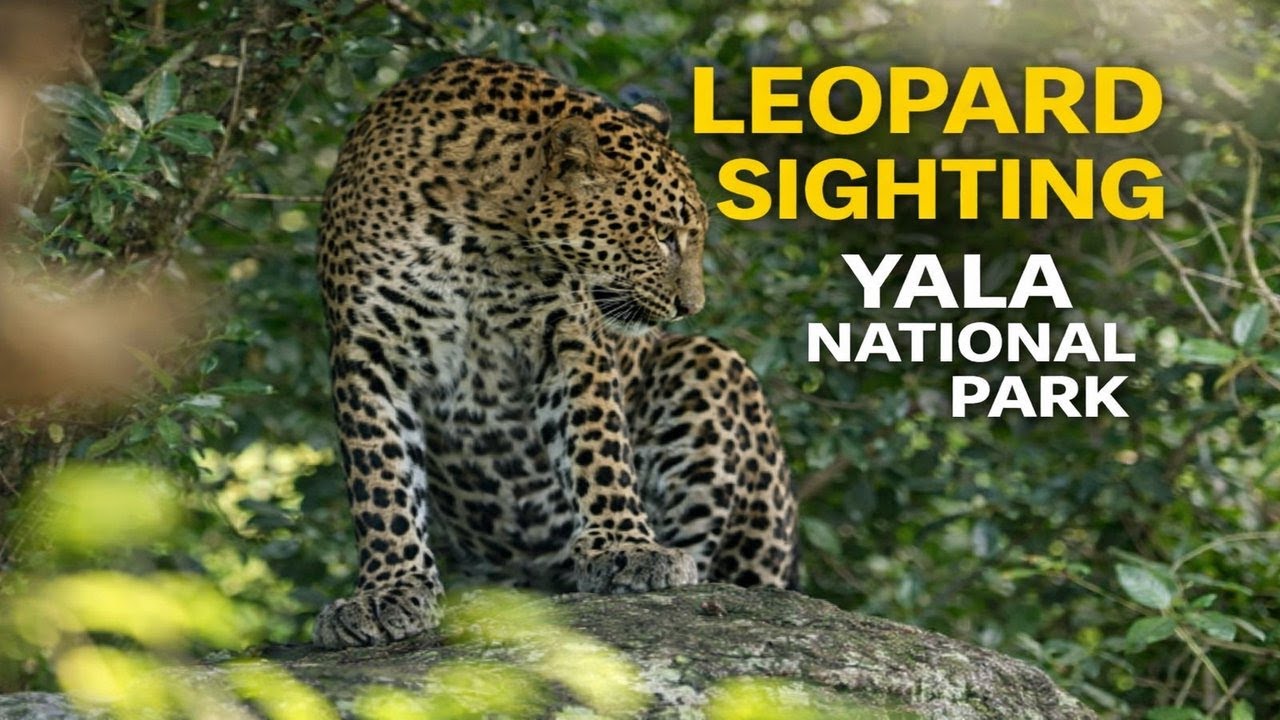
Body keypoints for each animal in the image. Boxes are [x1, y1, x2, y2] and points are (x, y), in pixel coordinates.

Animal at [313, 56, 798, 648]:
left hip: (710, 368)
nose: (691, 306)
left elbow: (597, 445)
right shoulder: (369, 350)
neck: (482, 230)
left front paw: (627, 549)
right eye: (664, 235)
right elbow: (380, 477)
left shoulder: (570, 338)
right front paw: (389, 591)